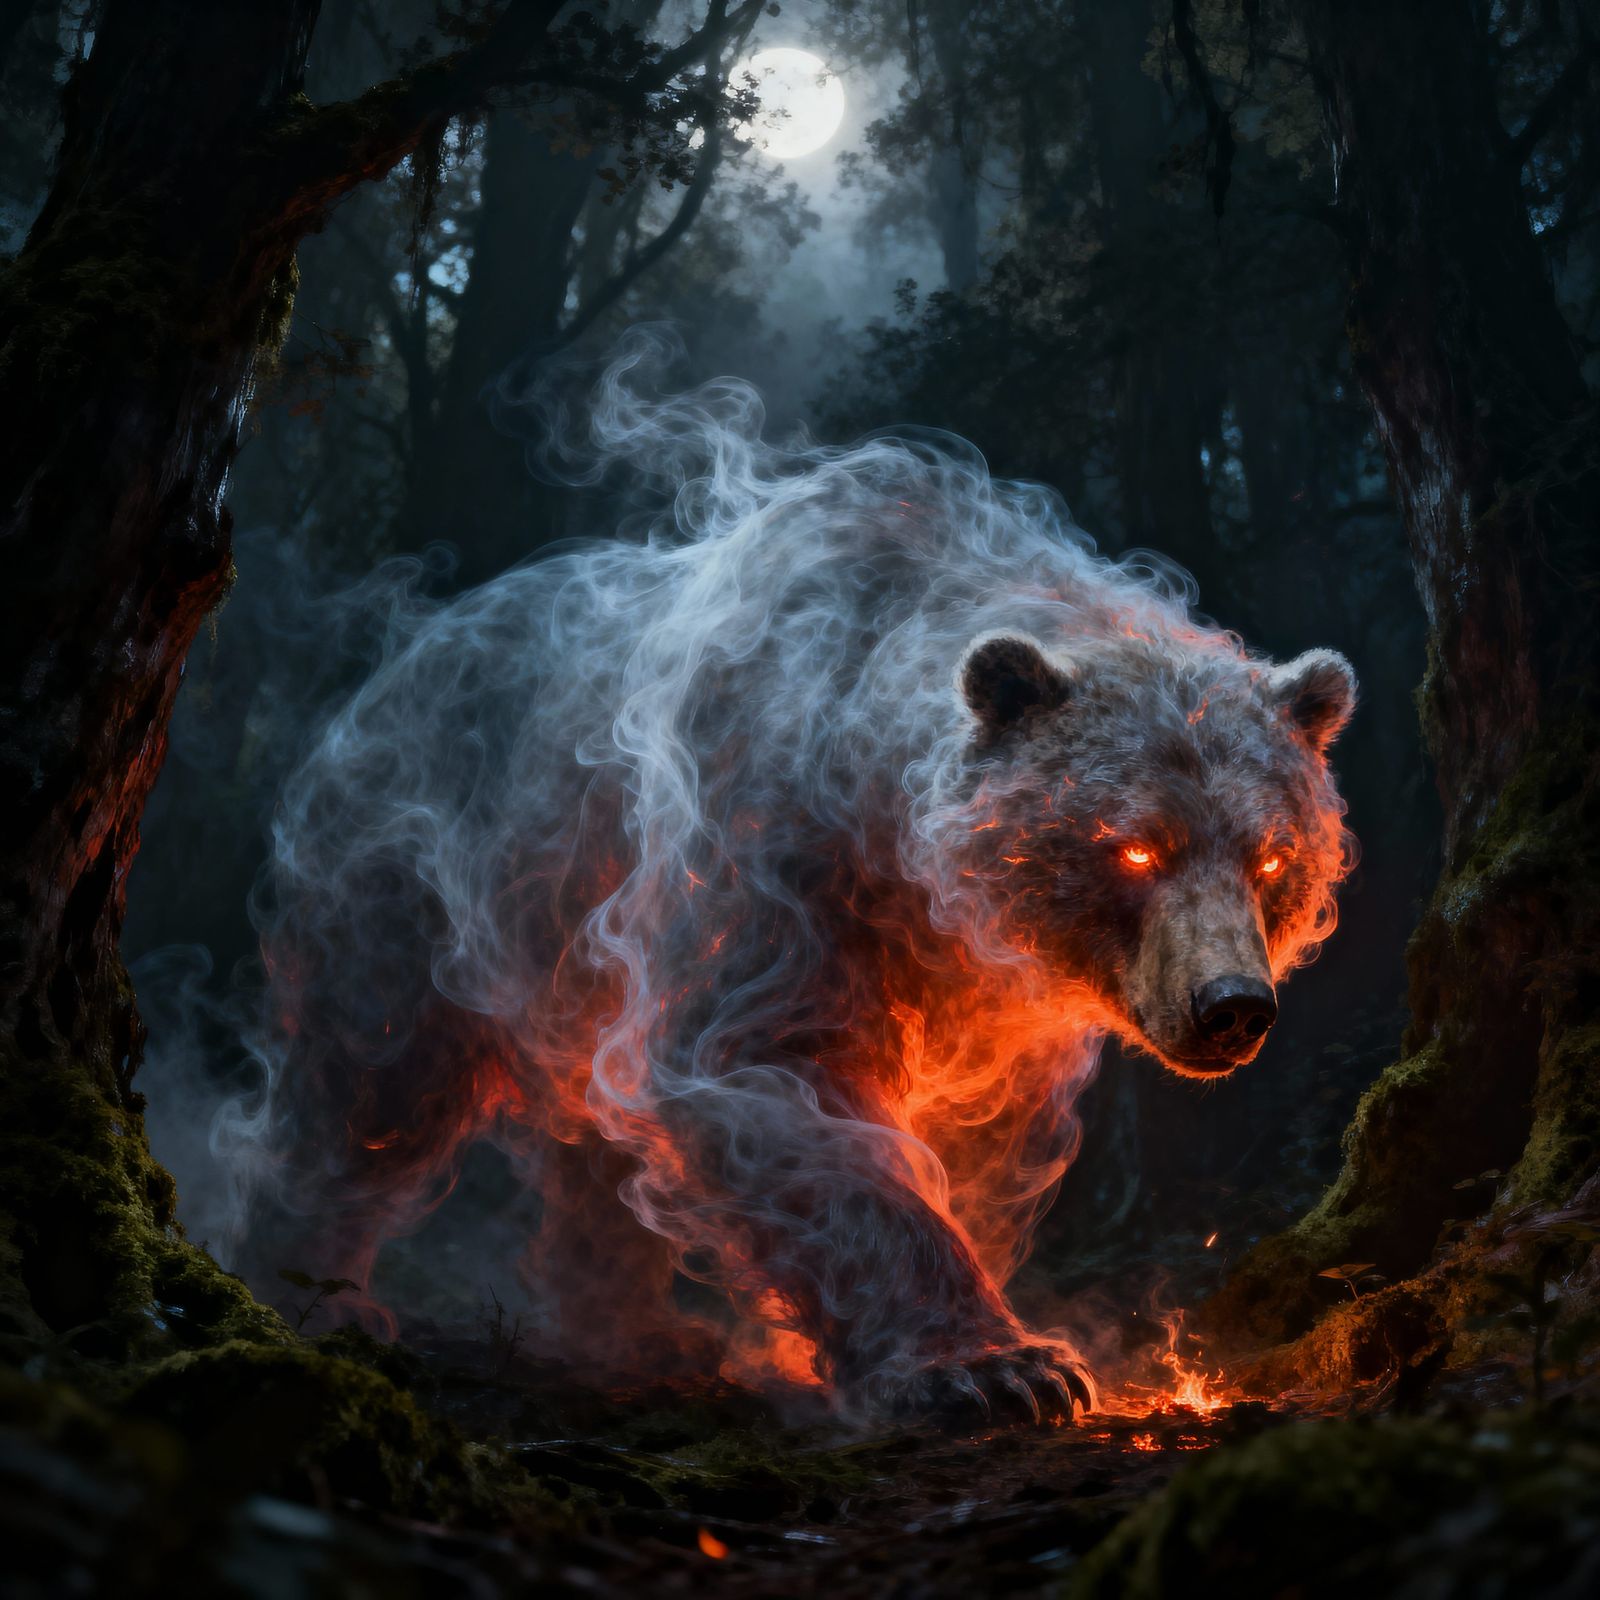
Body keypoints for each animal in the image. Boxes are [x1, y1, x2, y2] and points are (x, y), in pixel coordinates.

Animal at [235, 365, 1355, 1427]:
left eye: (1270, 859)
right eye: (1134, 850)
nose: (1230, 1007)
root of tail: (394, 662)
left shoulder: (994, 1004)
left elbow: (975, 1142)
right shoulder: (772, 856)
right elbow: (775, 1077)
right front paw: (997, 1369)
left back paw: (632, 1332)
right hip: (417, 882)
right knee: (367, 1087)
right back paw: (314, 1292)